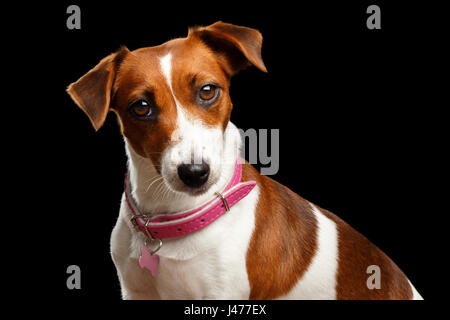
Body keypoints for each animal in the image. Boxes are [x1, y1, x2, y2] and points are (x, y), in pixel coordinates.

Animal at [67, 21, 422, 300]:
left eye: (207, 90)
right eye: (141, 107)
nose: (194, 172)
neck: (172, 218)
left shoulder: (222, 295)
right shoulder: (136, 291)